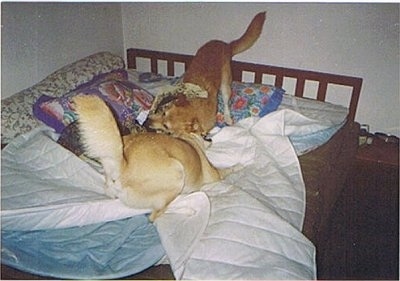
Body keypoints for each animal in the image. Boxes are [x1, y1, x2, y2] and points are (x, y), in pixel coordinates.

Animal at [73, 95, 223, 220]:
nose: (206, 132)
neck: (186, 138)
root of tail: (121, 166)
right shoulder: (215, 174)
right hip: (176, 173)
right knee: (154, 215)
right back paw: (187, 209)